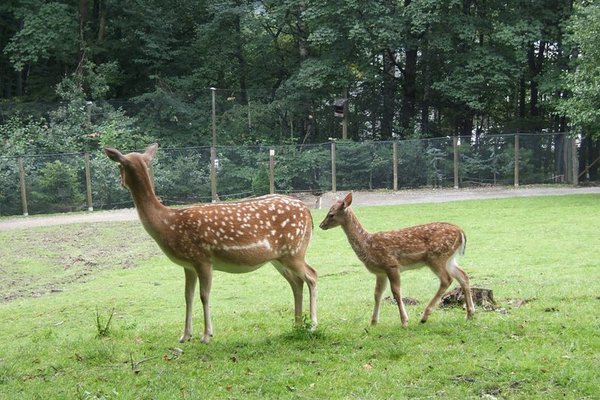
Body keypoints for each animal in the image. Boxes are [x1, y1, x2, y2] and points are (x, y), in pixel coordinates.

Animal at [105, 145, 318, 344]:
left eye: (119, 166)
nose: (120, 182)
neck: (168, 223)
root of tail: (308, 212)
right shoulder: (188, 264)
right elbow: (187, 296)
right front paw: (185, 335)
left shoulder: (203, 258)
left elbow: (204, 295)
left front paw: (207, 335)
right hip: (279, 257)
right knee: (296, 282)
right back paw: (297, 324)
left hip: (295, 251)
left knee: (312, 275)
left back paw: (313, 325)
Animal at [318, 192, 474, 326]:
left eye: (331, 214)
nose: (321, 225)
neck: (367, 244)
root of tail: (461, 232)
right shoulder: (380, 272)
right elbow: (377, 294)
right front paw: (373, 322)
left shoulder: (391, 264)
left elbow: (396, 292)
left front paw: (404, 321)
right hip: (449, 259)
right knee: (463, 275)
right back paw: (470, 314)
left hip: (436, 256)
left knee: (447, 279)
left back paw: (424, 316)